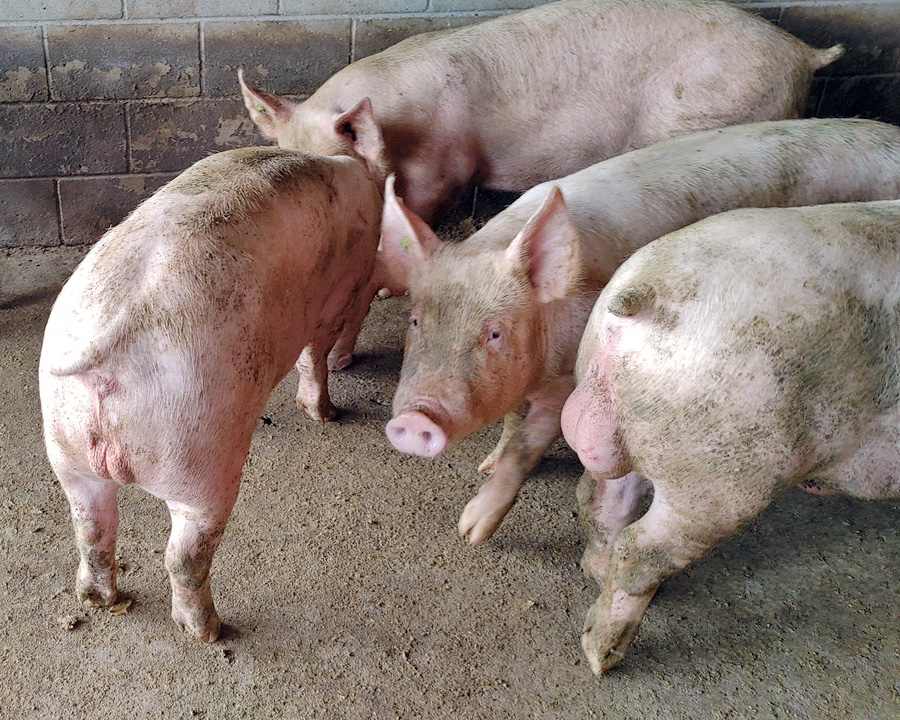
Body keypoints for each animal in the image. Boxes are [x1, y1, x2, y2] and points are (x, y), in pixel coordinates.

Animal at [38, 146, 382, 640]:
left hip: (66, 446)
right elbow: (314, 354)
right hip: (200, 453)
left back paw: (101, 600)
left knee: (90, 527)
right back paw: (208, 631)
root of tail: (105, 352)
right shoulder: (340, 294)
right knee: (183, 557)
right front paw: (328, 413)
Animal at [384, 118, 900, 544]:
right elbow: (510, 425)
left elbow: (525, 446)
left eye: (494, 334)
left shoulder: (570, 385)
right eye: (416, 321)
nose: (416, 418)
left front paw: (471, 531)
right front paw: (485, 461)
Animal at [560, 200, 900, 672]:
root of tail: (644, 292)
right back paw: (601, 657)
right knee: (640, 549)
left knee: (600, 503)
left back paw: (594, 573)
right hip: (722, 472)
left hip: (631, 432)